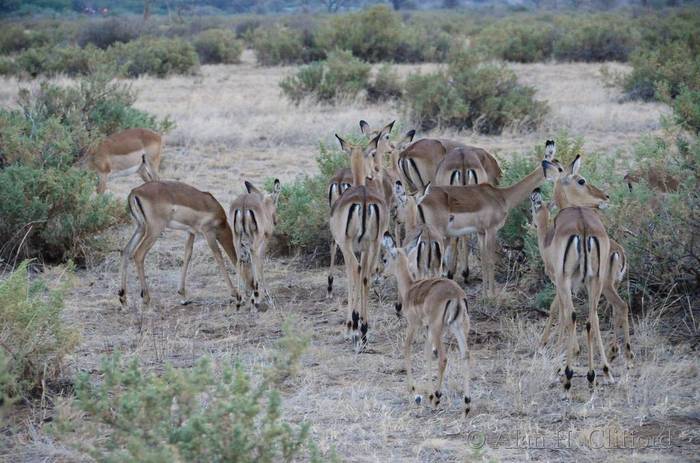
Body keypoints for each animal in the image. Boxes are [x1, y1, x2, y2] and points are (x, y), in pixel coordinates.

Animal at [119, 180, 241, 308]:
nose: (244, 297)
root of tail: (135, 191)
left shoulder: (191, 232)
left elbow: (187, 255)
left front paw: (183, 295)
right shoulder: (209, 233)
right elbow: (218, 257)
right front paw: (235, 293)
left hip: (140, 228)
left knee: (126, 251)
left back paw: (123, 298)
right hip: (154, 230)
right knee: (138, 254)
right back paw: (146, 298)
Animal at [229, 179, 281, 310]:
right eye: (276, 202)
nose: (275, 220)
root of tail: (243, 204)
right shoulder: (265, 239)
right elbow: (260, 263)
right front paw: (264, 297)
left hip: (237, 237)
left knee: (238, 260)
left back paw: (240, 300)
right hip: (255, 240)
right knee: (253, 256)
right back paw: (256, 298)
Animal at [330, 134, 388, 350]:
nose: (373, 173)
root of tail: (363, 197)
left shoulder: (345, 245)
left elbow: (349, 277)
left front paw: (350, 327)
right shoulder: (364, 248)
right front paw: (359, 326)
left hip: (348, 245)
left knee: (355, 272)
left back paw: (356, 330)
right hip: (374, 244)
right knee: (366, 276)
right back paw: (364, 330)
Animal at [381, 233, 472, 415]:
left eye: (385, 259)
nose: (380, 274)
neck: (409, 288)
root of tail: (457, 296)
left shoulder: (413, 324)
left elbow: (407, 348)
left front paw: (415, 393)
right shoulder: (427, 328)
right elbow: (427, 353)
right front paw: (427, 394)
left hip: (438, 329)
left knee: (443, 358)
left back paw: (437, 398)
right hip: (458, 328)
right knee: (465, 355)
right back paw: (466, 404)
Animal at [417, 148, 561, 298]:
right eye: (559, 168)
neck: (503, 197)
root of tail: (422, 199)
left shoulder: (481, 232)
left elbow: (484, 260)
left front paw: (485, 295)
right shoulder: (491, 230)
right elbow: (491, 260)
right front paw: (492, 294)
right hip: (437, 237)